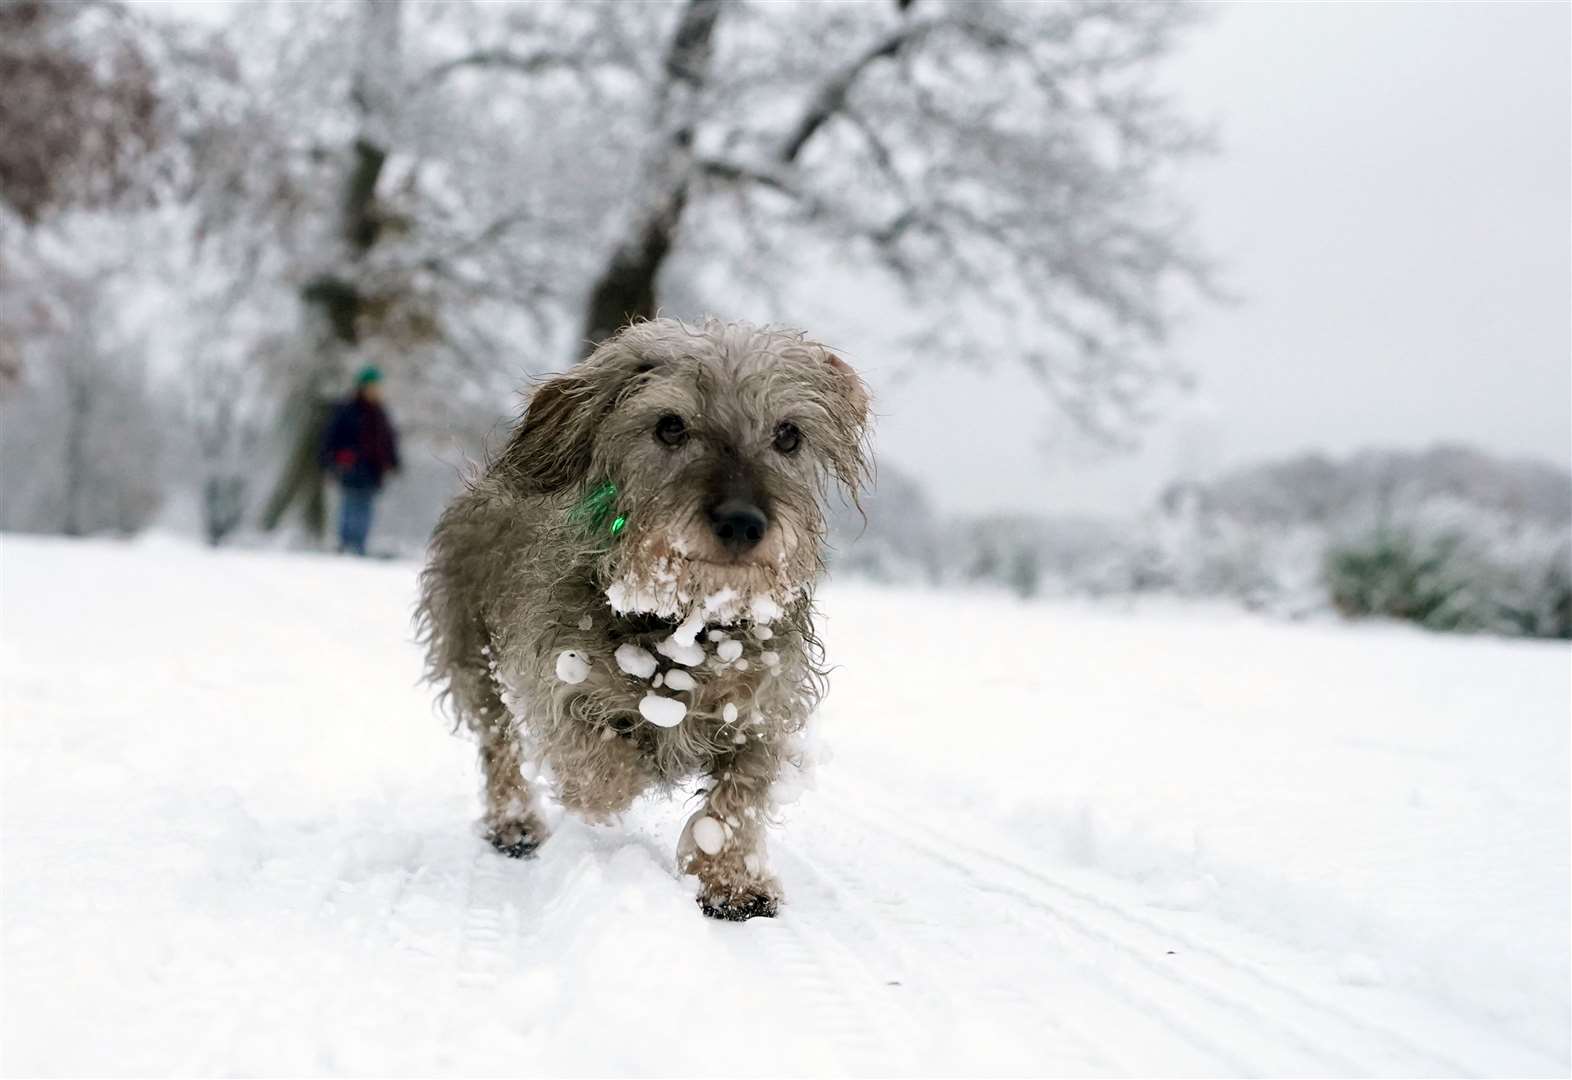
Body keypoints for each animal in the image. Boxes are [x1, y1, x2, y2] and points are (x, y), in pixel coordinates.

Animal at [418, 314, 874, 918]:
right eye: (670, 426)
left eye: (788, 435)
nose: (743, 523)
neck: (686, 620)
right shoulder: (558, 682)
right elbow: (598, 764)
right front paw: (615, 784)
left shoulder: (764, 708)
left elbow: (740, 794)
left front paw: (733, 880)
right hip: (473, 657)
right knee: (500, 746)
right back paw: (513, 821)